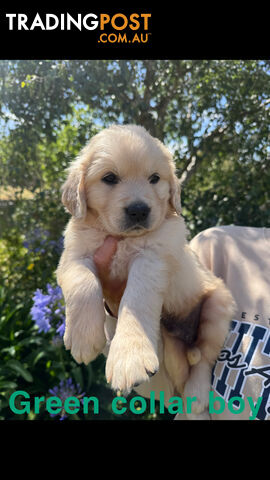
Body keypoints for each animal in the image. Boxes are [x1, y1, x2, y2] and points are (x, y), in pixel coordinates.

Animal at [57, 124, 236, 416]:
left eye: (155, 178)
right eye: (109, 178)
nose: (139, 210)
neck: (123, 238)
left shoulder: (153, 258)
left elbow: (136, 300)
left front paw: (129, 357)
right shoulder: (73, 256)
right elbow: (83, 283)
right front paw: (83, 336)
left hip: (217, 309)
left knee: (204, 359)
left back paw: (197, 395)